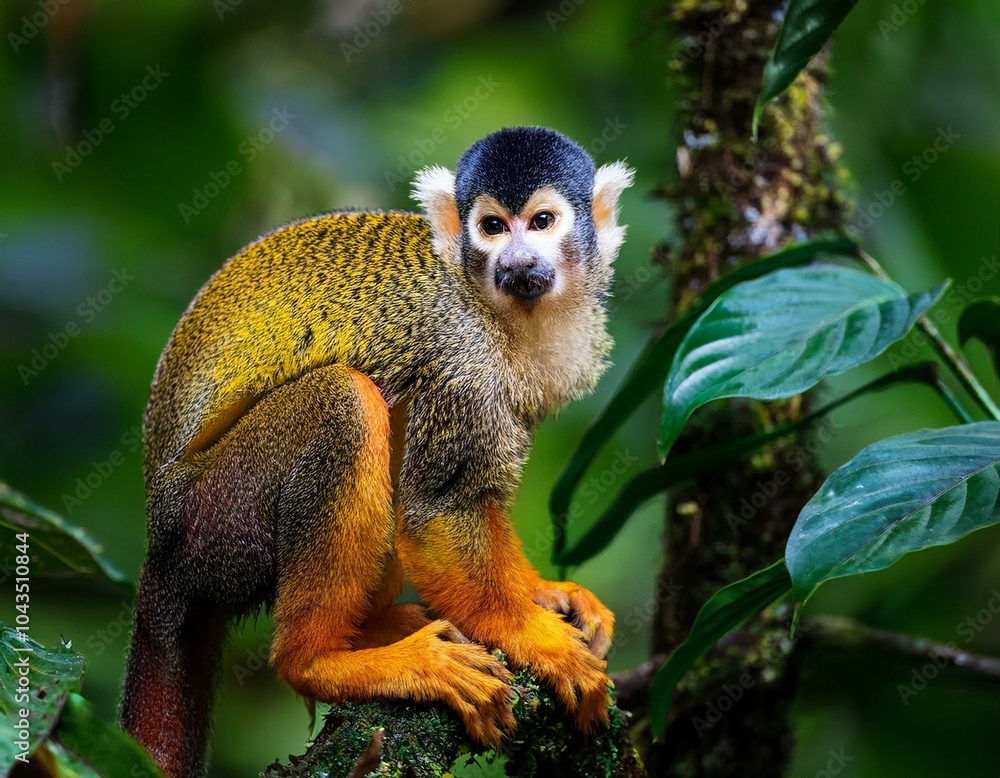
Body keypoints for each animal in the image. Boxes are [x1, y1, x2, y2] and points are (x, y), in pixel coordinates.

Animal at [119, 126, 633, 778]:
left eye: (542, 222)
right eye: (492, 227)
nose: (516, 260)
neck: (503, 310)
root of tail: (160, 548)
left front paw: (544, 593)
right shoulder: (462, 358)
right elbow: (441, 509)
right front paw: (531, 634)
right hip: (215, 518)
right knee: (348, 402)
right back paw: (322, 659)